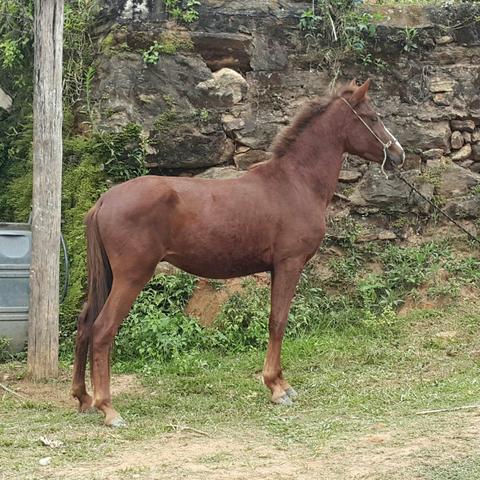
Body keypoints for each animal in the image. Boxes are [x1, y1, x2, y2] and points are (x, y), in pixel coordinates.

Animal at [71, 79, 404, 428]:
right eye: (372, 116)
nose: (399, 154)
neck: (295, 183)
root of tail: (104, 201)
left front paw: (281, 383)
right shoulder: (289, 264)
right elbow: (278, 321)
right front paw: (276, 388)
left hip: (108, 278)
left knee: (84, 324)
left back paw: (83, 398)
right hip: (131, 277)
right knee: (102, 329)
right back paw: (108, 408)